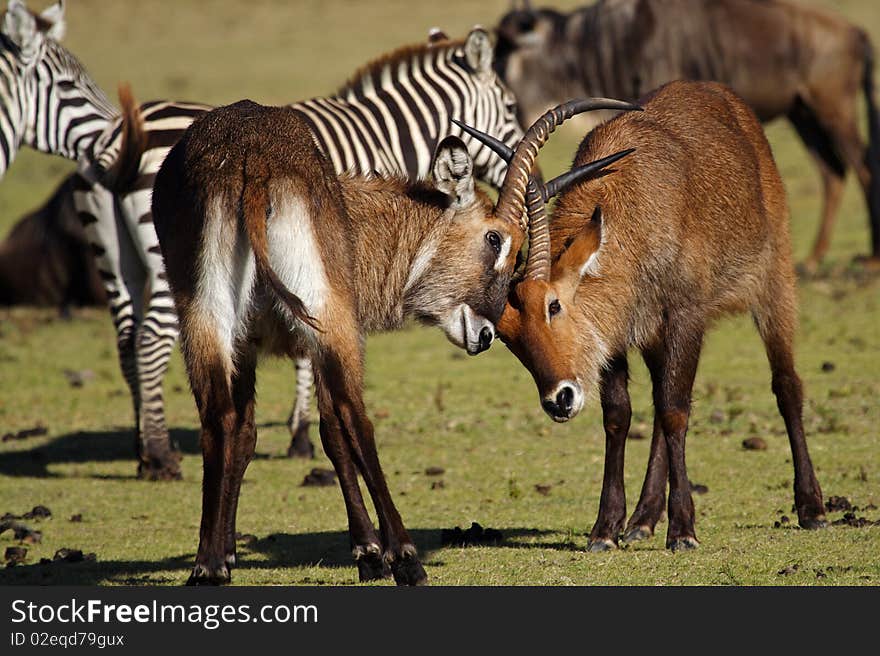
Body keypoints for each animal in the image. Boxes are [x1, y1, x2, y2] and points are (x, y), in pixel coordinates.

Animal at [74, 26, 524, 476]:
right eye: (510, 105)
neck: (383, 136)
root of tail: (122, 139)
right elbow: (311, 351)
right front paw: (301, 434)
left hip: (120, 265)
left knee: (128, 342)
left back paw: (143, 448)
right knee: (150, 341)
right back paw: (160, 455)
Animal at [148, 93, 636, 584]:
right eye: (496, 239)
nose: (484, 335)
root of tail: (250, 160)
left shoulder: (248, 346)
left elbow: (246, 433)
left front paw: (227, 552)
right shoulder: (324, 339)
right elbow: (334, 430)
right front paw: (369, 552)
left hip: (206, 320)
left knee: (217, 418)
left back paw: (206, 566)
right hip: (328, 320)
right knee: (356, 418)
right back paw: (406, 558)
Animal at [464, 80, 828, 552]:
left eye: (553, 305)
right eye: (506, 333)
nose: (559, 400)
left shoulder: (685, 317)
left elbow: (675, 411)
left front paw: (683, 531)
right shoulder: (617, 336)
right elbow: (619, 416)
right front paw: (606, 529)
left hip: (774, 285)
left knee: (785, 385)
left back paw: (812, 509)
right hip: (656, 337)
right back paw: (642, 520)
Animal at [496, 0, 880, 272]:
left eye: (506, 63)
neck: (613, 40)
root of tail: (855, 32)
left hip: (833, 109)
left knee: (862, 168)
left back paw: (871, 258)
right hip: (804, 115)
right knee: (832, 172)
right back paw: (814, 257)